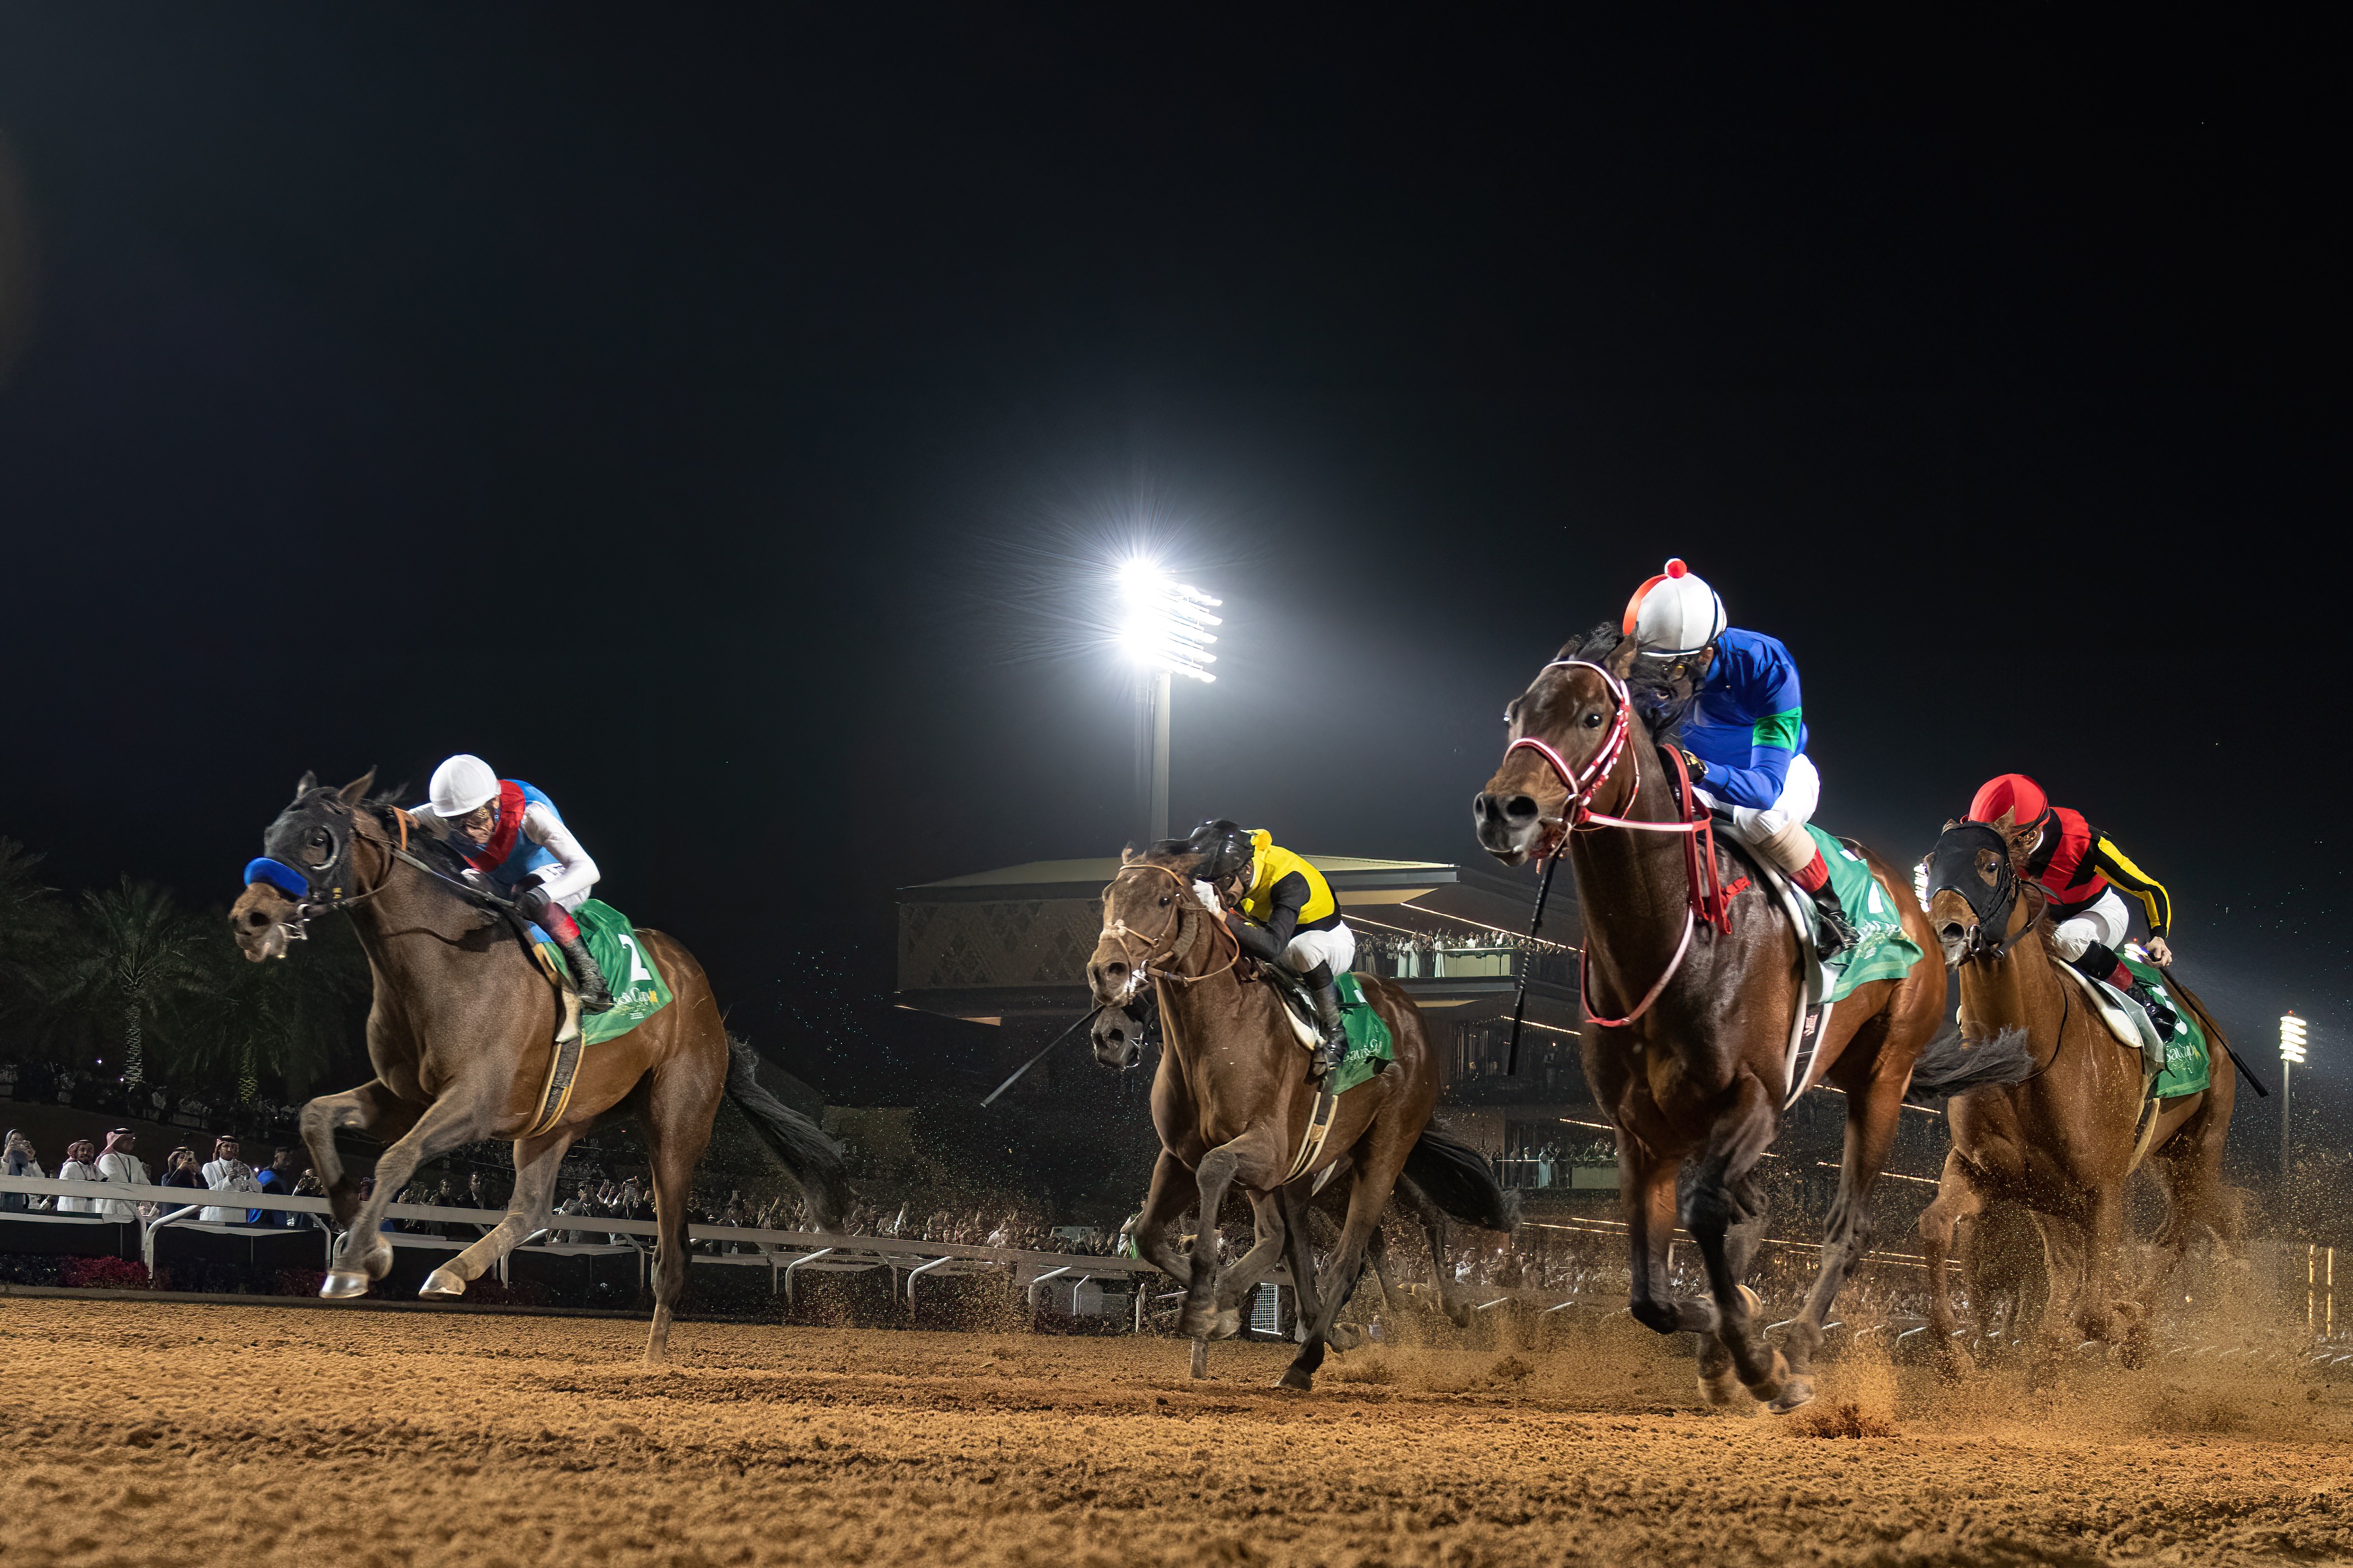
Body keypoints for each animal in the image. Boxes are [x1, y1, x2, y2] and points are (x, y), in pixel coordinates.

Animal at [227, 771, 847, 1363]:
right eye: (269, 834)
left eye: (317, 839)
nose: (249, 920)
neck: (446, 960)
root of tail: (707, 1005)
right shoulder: (403, 1096)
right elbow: (314, 1116)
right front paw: (362, 1233)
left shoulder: (473, 1103)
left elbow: (396, 1157)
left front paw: (356, 1260)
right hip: (557, 1119)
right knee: (530, 1210)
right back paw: (452, 1270)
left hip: (676, 1124)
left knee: (672, 1253)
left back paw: (653, 1359)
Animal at [1082, 851, 1506, 1392]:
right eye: (1107, 897)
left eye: (1162, 899)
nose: (1106, 981)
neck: (1220, 1031)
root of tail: (1410, 1015)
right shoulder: (1182, 1157)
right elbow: (1152, 1235)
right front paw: (1218, 1302)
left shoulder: (1266, 1153)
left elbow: (1228, 1189)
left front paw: (1207, 1302)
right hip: (1326, 1180)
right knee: (1333, 1252)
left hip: (1387, 1151)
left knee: (1361, 1251)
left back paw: (1313, 1356)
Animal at [1920, 818, 2230, 1363]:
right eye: (1931, 862)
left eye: (1990, 864)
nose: (1946, 931)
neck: (2031, 1056)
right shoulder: (1984, 1170)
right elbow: (1935, 1228)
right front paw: (1954, 1358)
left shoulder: (2104, 1187)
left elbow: (2094, 1308)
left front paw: (2122, 1320)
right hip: (2106, 1177)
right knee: (2076, 1266)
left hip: (2199, 1149)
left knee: (2175, 1238)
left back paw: (2135, 1325)